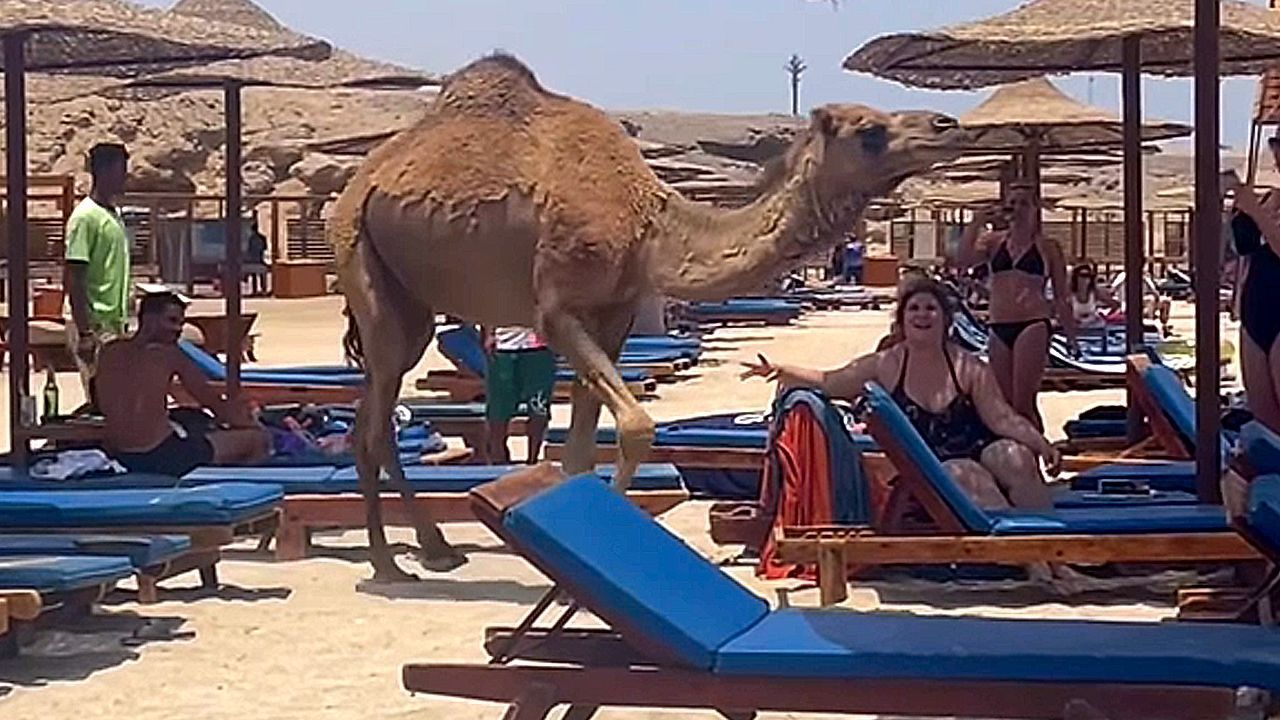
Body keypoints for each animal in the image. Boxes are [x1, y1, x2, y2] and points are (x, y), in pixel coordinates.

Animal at [328, 53, 970, 579]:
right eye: (870, 131)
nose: (948, 125)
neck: (650, 224)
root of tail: (358, 184)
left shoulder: (612, 313)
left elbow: (581, 449)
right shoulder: (557, 307)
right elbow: (636, 426)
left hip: (408, 299)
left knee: (373, 414)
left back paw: (431, 548)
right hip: (361, 258)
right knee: (375, 419)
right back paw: (392, 563)